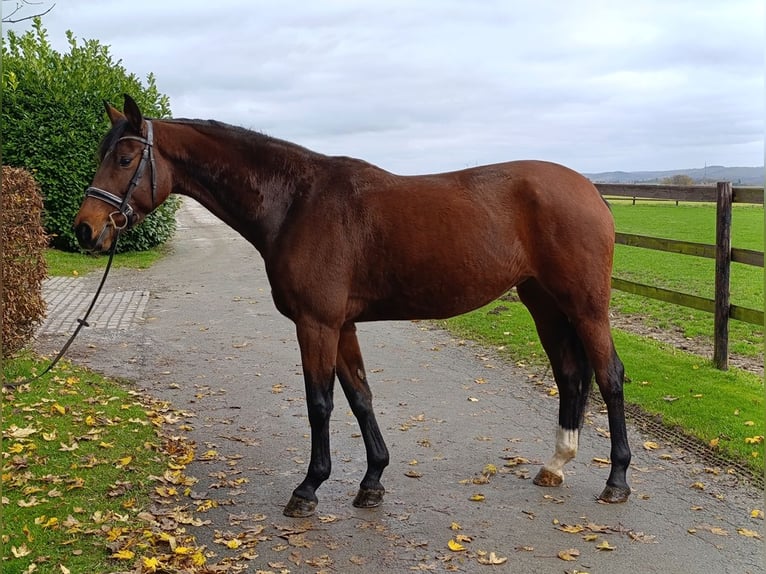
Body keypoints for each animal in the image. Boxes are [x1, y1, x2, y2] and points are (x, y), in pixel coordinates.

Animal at [75, 95, 632, 520]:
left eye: (124, 159)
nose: (85, 229)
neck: (296, 202)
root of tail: (589, 189)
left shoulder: (316, 324)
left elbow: (319, 403)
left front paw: (309, 488)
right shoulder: (342, 326)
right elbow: (360, 396)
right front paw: (372, 481)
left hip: (586, 307)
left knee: (609, 376)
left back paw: (617, 480)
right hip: (544, 303)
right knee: (570, 374)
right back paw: (556, 464)